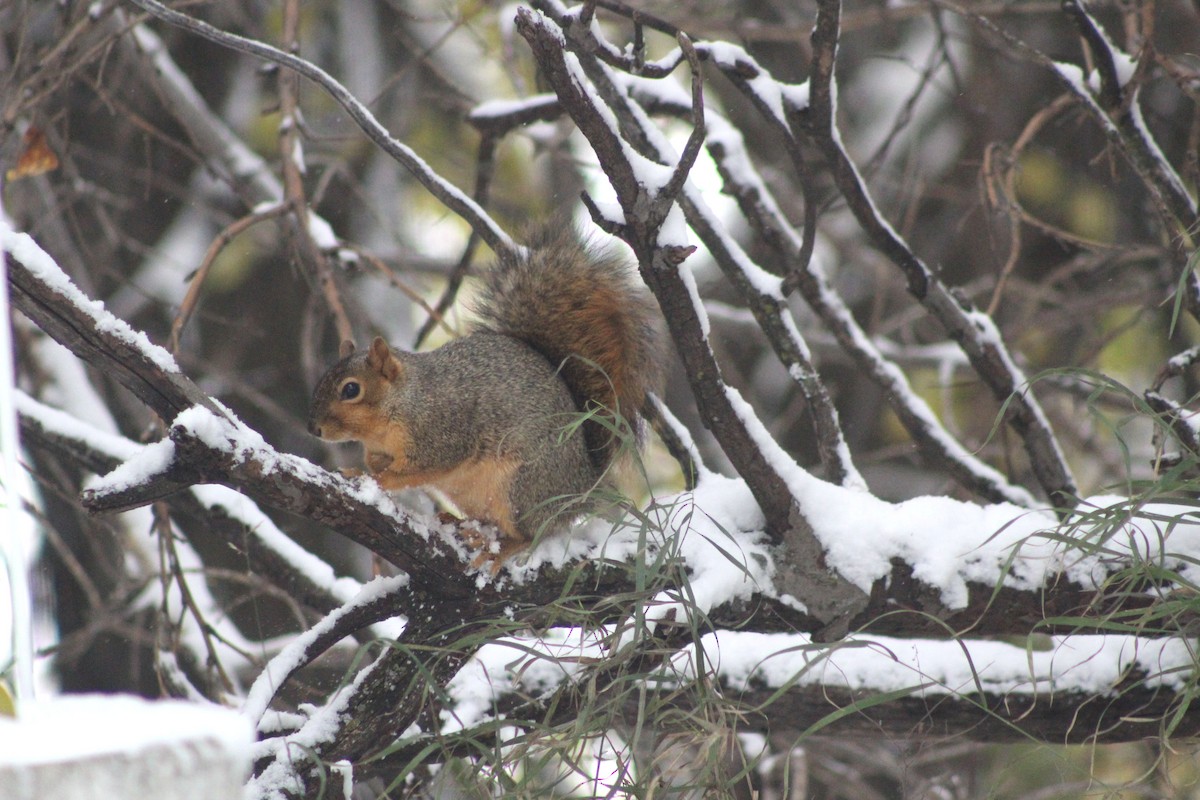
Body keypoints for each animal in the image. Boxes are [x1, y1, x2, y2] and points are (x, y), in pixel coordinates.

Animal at [307, 226, 663, 568]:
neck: (403, 403)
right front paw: (370, 467)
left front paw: (374, 479)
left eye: (351, 389)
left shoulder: (442, 435)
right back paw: (462, 524)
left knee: (533, 531)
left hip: (522, 487)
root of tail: (584, 483)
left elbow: (413, 471)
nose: (314, 429)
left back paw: (500, 549)